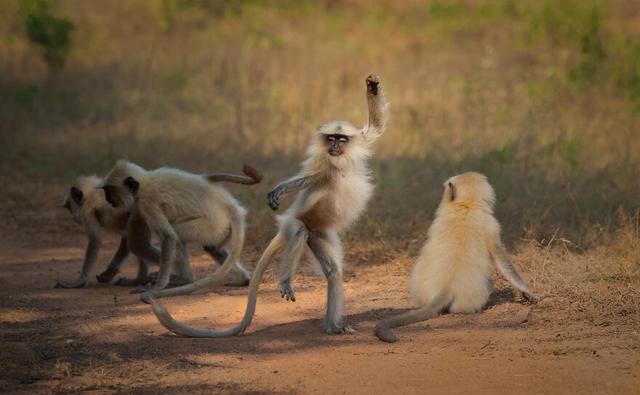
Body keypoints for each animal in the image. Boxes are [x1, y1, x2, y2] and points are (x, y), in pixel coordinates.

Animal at [100, 162, 260, 296]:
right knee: (212, 247)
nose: (108, 200)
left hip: (211, 224)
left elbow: (169, 237)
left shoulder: (146, 202)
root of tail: (229, 206)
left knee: (178, 235)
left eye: (109, 191)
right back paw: (242, 280)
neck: (144, 182)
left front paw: (156, 287)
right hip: (222, 228)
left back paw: (185, 279)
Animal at [146, 74, 390, 338]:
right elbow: (303, 180)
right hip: (299, 223)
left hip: (319, 233)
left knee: (334, 272)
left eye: (341, 140)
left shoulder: (354, 144)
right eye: (331, 139)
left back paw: (333, 326)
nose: (334, 147)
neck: (339, 161)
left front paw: (372, 86)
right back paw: (286, 282)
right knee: (299, 231)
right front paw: (279, 190)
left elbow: (376, 128)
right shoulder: (322, 165)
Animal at [372, 173, 536, 344]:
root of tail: (446, 287)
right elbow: (503, 261)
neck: (466, 205)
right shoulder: (491, 224)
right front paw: (529, 292)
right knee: (488, 283)